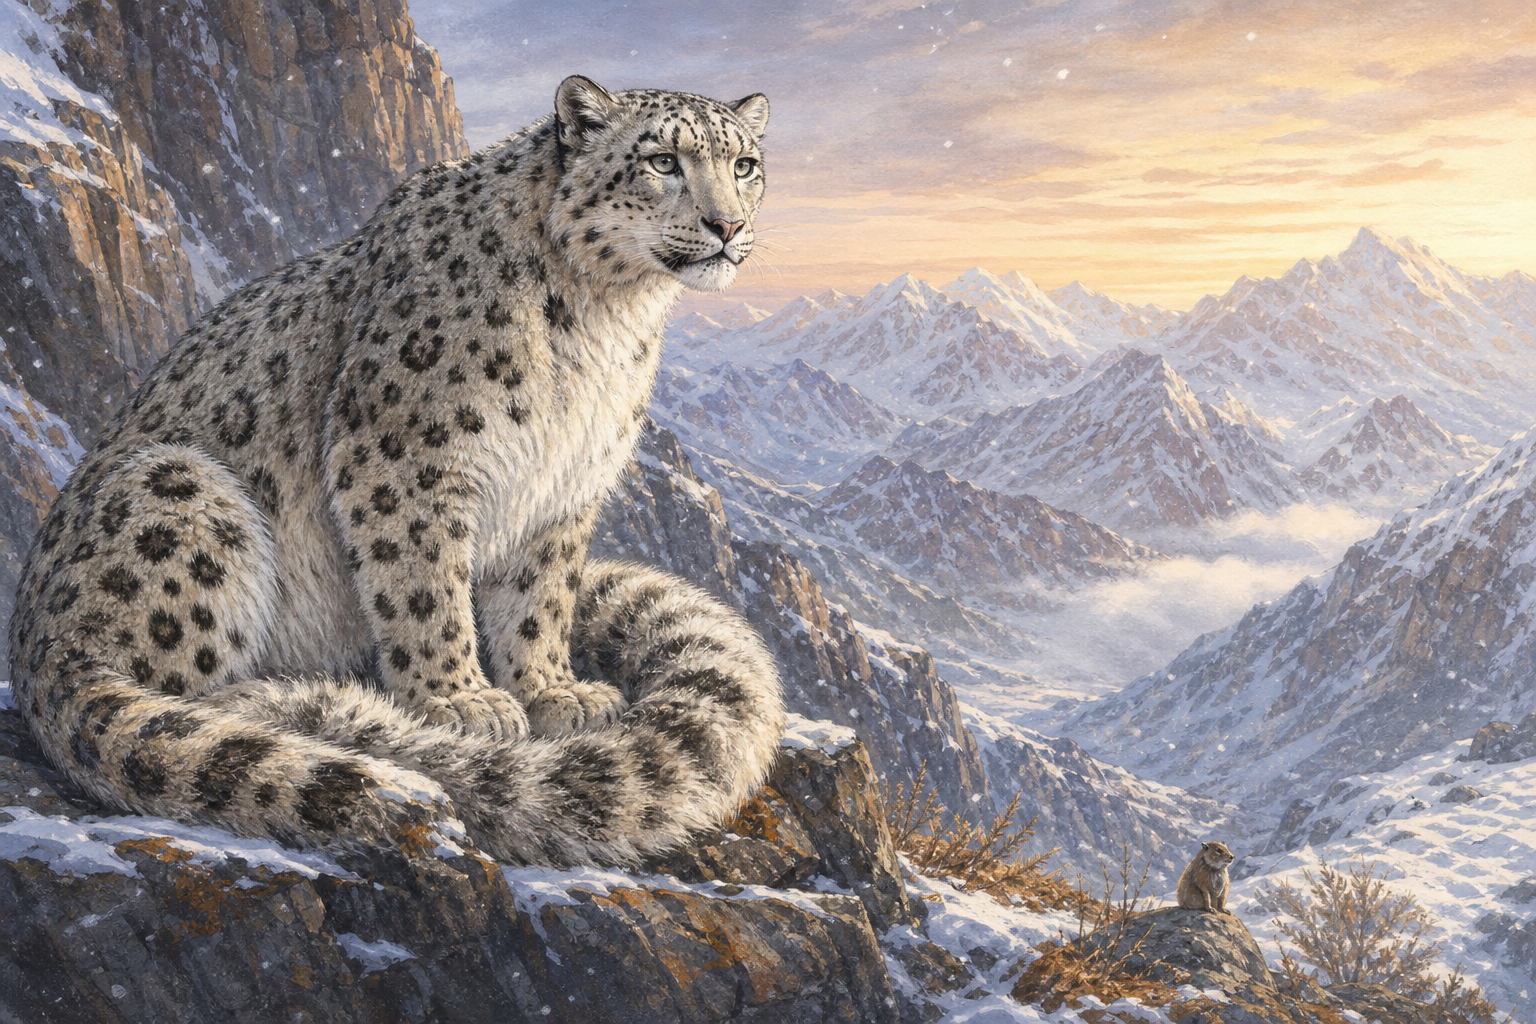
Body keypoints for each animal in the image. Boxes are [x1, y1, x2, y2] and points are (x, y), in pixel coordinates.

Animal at [7, 76, 785, 866]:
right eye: (662, 161)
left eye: (744, 165)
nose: (726, 225)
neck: (605, 318)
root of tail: (37, 651)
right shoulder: (406, 457)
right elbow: (423, 586)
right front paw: (460, 702)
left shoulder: (564, 486)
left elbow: (541, 597)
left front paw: (551, 692)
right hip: (179, 489)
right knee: (169, 692)